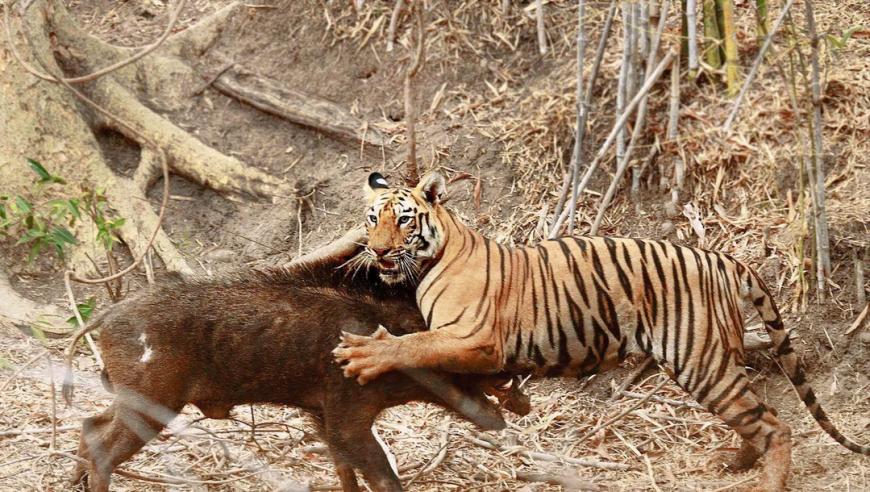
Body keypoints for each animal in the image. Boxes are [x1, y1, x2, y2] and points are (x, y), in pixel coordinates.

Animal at [330, 171, 868, 490]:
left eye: (403, 221)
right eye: (371, 219)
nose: (378, 251)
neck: (433, 257)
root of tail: (723, 258)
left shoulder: (472, 336)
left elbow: (413, 344)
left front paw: (364, 354)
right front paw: (509, 397)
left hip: (700, 361)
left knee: (774, 424)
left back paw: (766, 480)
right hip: (720, 359)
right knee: (758, 410)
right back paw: (736, 462)